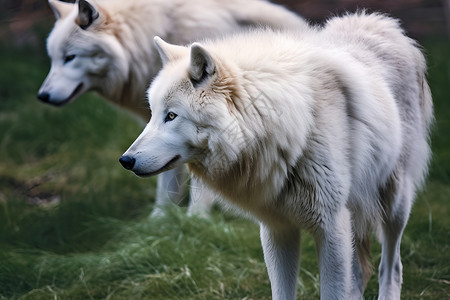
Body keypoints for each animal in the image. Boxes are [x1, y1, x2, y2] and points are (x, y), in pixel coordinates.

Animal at [38, 0, 308, 216]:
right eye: (53, 58)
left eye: (70, 57)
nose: (42, 96)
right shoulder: (162, 140)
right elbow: (166, 186)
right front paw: (158, 224)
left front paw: (196, 224)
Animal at [118, 11, 432, 300]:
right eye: (152, 114)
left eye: (171, 116)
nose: (125, 161)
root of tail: (383, 22)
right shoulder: (277, 229)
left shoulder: (331, 226)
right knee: (358, 274)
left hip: (393, 204)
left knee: (391, 268)